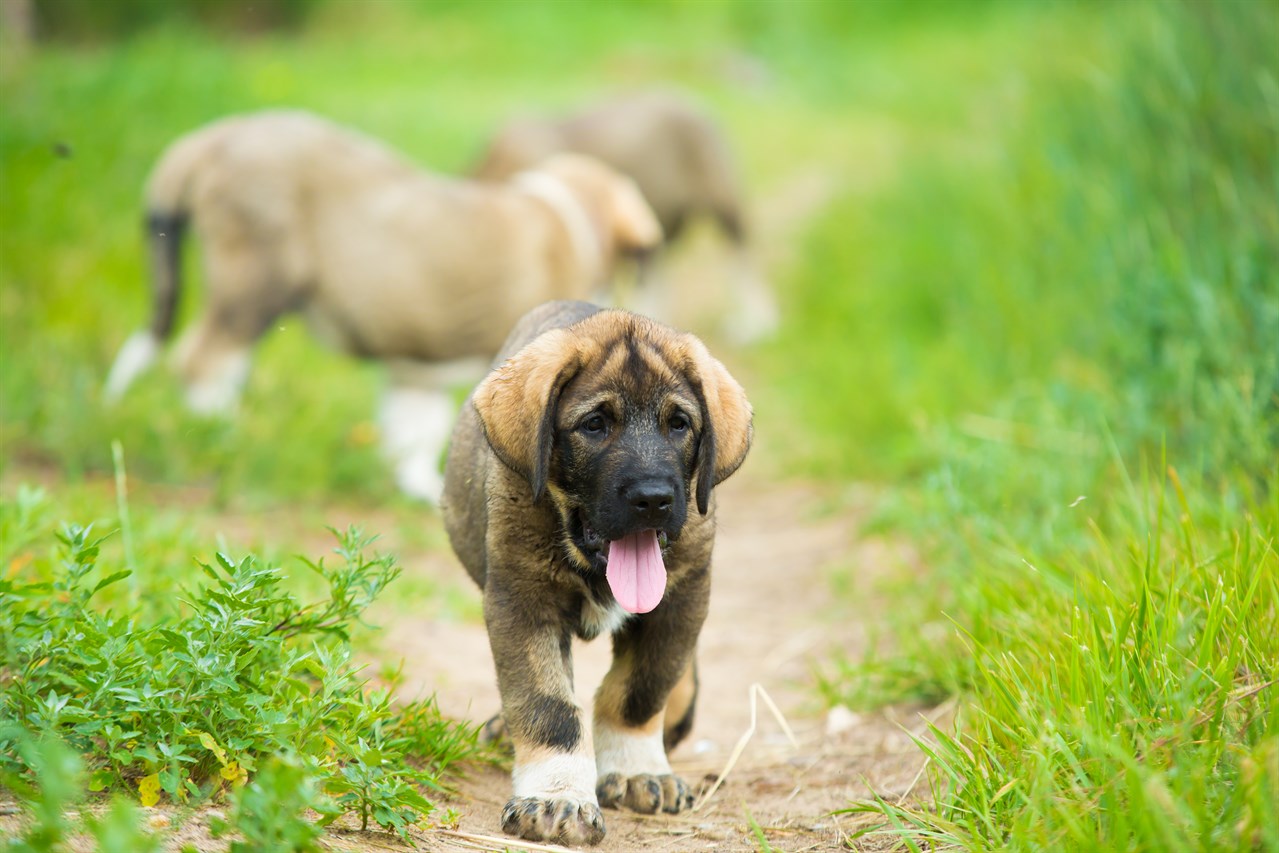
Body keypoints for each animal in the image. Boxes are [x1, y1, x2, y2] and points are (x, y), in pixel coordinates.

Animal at [104, 109, 659, 503]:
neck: (572, 215)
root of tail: (215, 138)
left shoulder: (414, 373)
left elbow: (414, 431)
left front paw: (419, 487)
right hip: (256, 282)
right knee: (203, 361)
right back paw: (223, 431)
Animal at [445, 296, 752, 844]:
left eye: (679, 424)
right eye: (594, 425)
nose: (653, 499)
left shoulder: (680, 601)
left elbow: (639, 691)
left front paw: (634, 768)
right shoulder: (522, 603)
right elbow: (547, 706)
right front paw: (556, 796)